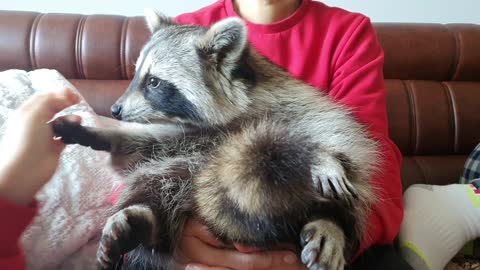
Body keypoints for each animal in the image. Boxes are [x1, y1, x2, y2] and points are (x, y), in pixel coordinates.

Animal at [53, 9, 378, 270]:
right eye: (135, 76)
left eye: (153, 82)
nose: (115, 110)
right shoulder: (179, 135)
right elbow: (139, 147)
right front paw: (100, 132)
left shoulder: (300, 105)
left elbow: (332, 132)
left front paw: (321, 157)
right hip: (182, 168)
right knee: (154, 180)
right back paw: (144, 219)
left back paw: (329, 223)